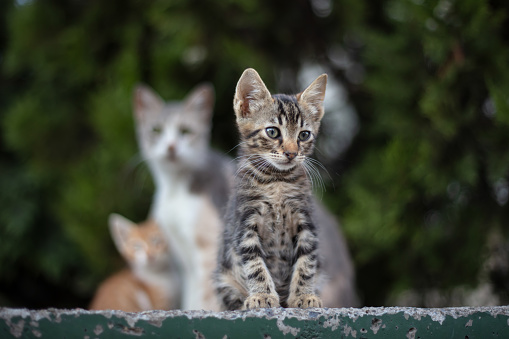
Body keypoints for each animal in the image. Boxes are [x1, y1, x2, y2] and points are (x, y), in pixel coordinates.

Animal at [213, 67, 326, 310]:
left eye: (304, 135)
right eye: (273, 132)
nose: (292, 153)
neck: (277, 182)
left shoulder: (306, 222)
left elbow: (306, 263)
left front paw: (303, 295)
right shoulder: (245, 224)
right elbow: (255, 265)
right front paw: (262, 296)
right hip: (224, 277)